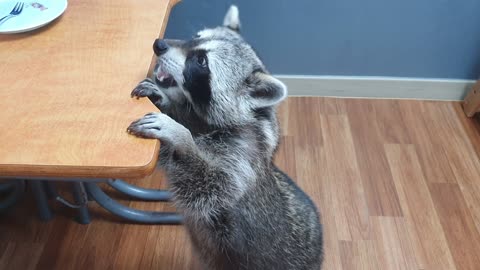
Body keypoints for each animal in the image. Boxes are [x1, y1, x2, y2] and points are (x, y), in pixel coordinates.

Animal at [126, 5, 322, 270]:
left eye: (201, 61)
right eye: (195, 37)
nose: (159, 44)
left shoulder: (243, 153)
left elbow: (209, 186)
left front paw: (181, 138)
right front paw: (164, 100)